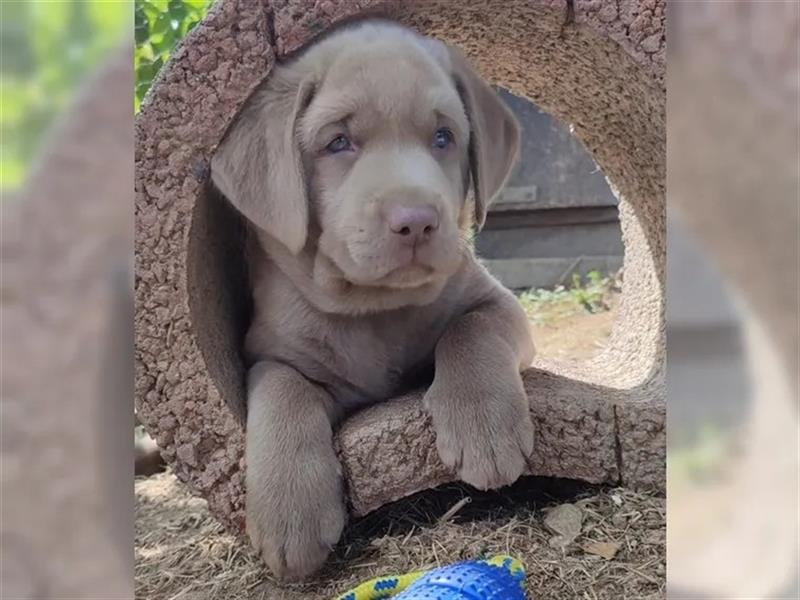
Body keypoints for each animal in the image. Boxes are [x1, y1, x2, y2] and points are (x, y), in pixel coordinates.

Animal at [212, 19, 536, 580]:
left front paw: (485, 427)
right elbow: (281, 393)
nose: (417, 221)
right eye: (338, 142)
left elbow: (470, 329)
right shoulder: (270, 352)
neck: (375, 308)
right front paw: (289, 513)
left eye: (444, 138)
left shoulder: (498, 303)